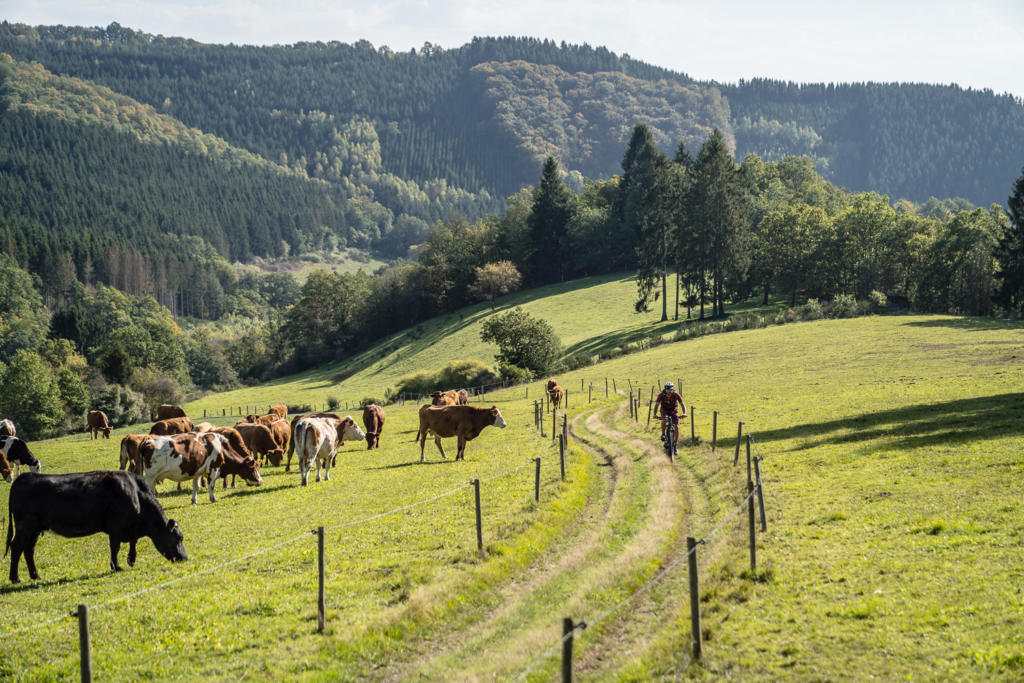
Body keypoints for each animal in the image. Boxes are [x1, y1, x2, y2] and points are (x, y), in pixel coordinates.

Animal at [6, 473, 187, 585]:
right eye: (178, 539)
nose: (184, 558)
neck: (136, 494)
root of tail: (24, 477)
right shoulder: (116, 525)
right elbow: (115, 547)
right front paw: (116, 566)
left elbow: (133, 542)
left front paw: (131, 559)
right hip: (24, 527)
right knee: (16, 548)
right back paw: (15, 578)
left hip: (34, 530)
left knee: (28, 550)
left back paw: (35, 575)